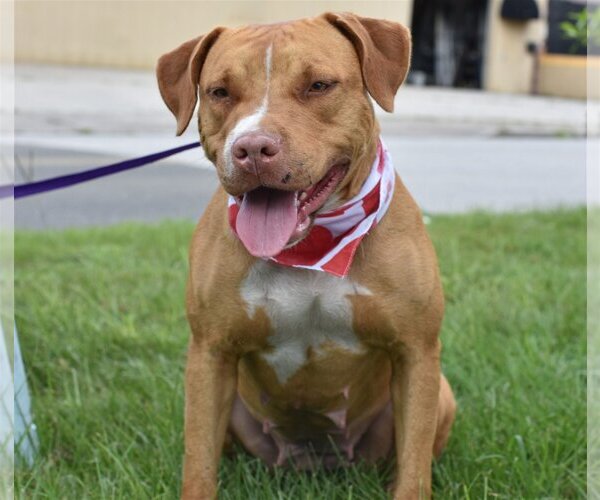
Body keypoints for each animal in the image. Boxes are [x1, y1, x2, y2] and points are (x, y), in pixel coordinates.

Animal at [157, 12, 458, 500]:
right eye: (219, 92)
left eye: (318, 85)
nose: (252, 148)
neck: (311, 250)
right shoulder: (210, 353)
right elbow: (198, 463)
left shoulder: (415, 350)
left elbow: (413, 470)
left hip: (440, 393)